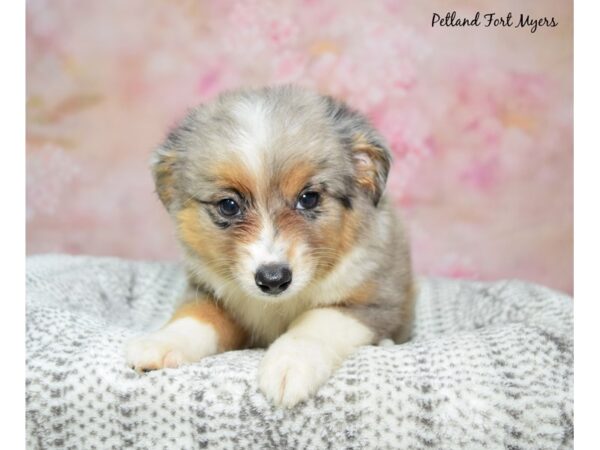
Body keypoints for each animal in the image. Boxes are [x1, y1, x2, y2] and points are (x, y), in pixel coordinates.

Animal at [126, 84, 412, 408]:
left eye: (308, 198)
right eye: (228, 205)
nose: (273, 280)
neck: (278, 305)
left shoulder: (374, 303)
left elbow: (316, 321)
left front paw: (290, 364)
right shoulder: (206, 291)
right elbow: (197, 317)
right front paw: (162, 343)